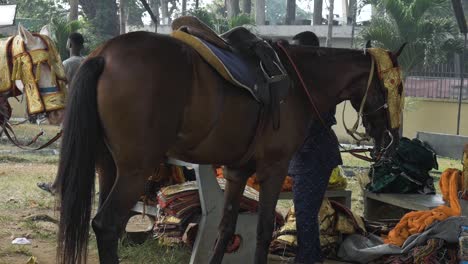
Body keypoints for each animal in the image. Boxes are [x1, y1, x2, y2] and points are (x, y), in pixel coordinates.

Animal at [54, 18, 406, 264]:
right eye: (397, 87)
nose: (392, 140)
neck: (299, 82)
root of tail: (104, 55)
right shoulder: (274, 168)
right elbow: (263, 230)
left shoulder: (238, 170)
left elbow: (226, 228)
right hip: (136, 169)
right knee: (107, 225)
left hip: (107, 164)